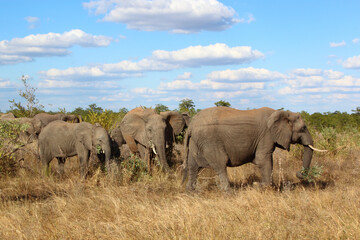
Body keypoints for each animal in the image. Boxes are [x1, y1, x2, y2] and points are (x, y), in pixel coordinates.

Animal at [183, 107, 326, 191]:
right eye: (303, 128)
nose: (298, 173)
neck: (282, 112)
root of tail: (191, 125)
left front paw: (260, 186)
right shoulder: (266, 135)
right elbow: (263, 159)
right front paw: (263, 187)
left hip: (196, 141)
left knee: (193, 166)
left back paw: (191, 192)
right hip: (210, 141)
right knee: (220, 165)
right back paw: (229, 193)